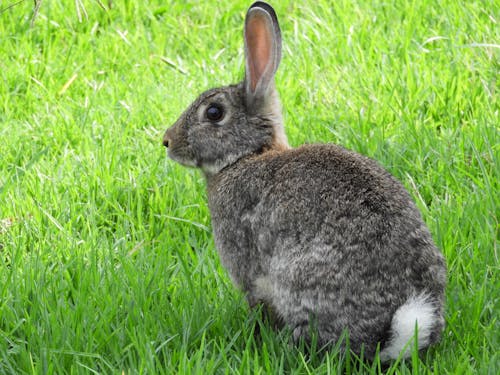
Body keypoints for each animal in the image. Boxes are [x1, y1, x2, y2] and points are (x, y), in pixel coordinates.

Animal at [163, 1, 446, 362]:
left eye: (214, 113)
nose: (167, 141)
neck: (248, 155)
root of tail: (390, 335)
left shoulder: (249, 271)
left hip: (299, 280)